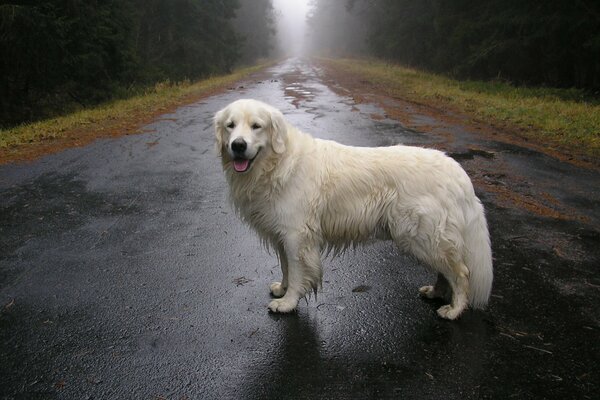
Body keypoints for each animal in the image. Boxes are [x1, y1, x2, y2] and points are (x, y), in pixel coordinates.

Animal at [214, 99, 492, 318]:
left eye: (256, 126)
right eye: (230, 125)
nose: (238, 145)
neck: (277, 164)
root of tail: (458, 173)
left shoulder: (296, 236)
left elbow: (297, 273)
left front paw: (287, 303)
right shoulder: (282, 234)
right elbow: (286, 268)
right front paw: (282, 289)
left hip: (422, 236)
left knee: (461, 273)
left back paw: (454, 310)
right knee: (446, 272)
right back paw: (436, 292)